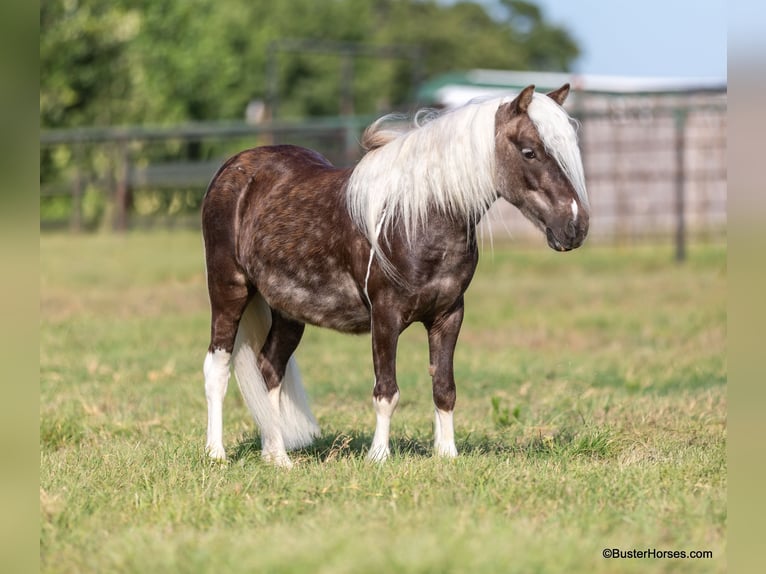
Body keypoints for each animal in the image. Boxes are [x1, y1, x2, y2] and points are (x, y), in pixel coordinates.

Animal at [201, 84, 592, 468]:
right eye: (529, 152)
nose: (576, 226)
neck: (418, 218)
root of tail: (233, 167)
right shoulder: (386, 315)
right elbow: (386, 390)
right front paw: (379, 457)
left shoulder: (449, 315)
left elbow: (444, 388)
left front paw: (447, 454)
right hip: (229, 289)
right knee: (217, 368)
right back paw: (216, 453)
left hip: (288, 309)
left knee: (269, 368)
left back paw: (277, 456)